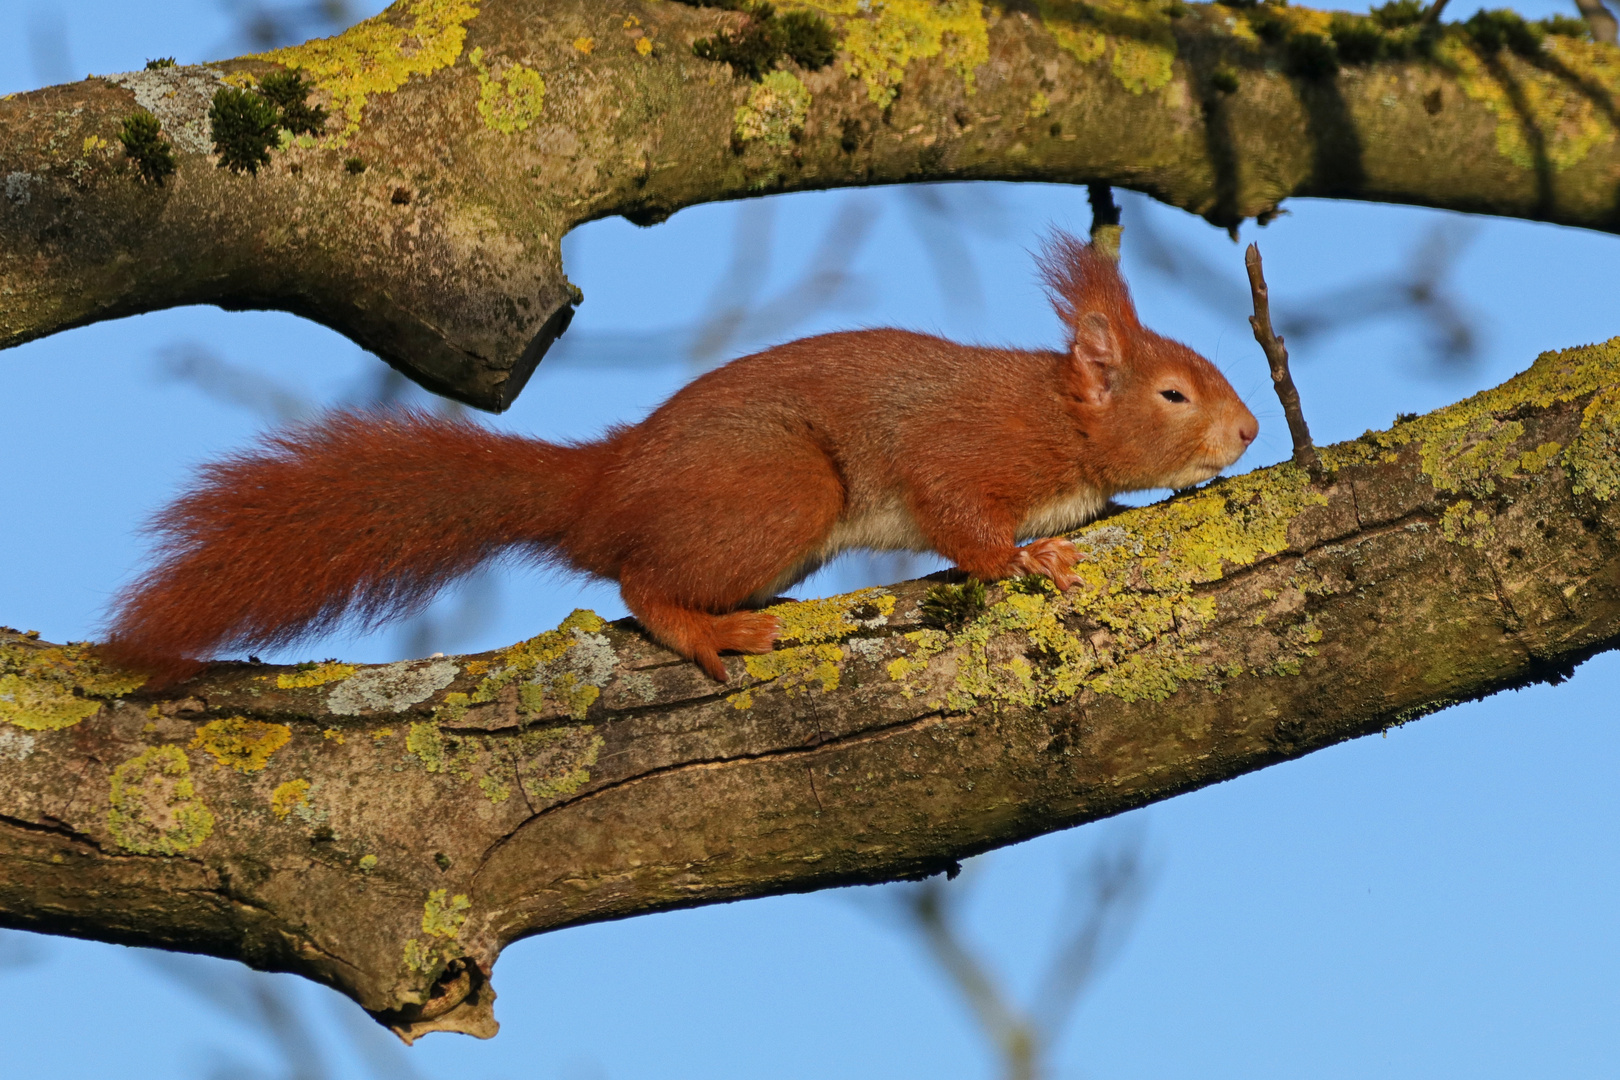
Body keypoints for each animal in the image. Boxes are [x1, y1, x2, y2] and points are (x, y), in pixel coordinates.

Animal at [104, 236, 1250, 683]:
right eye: (1173, 393)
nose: (1247, 433)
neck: (1065, 421)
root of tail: (602, 485)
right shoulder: (969, 449)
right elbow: (962, 519)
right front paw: (1030, 560)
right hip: (783, 491)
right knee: (639, 585)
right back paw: (708, 629)